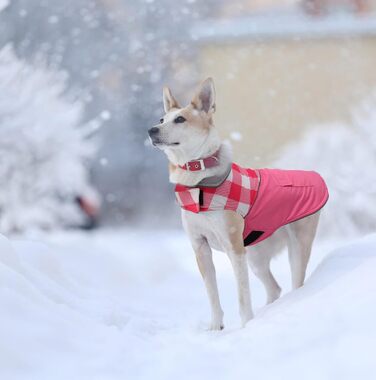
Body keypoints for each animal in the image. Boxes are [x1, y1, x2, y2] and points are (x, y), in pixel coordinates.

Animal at [148, 78, 328, 330]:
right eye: (161, 119)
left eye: (180, 119)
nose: (151, 130)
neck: (199, 181)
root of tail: (313, 175)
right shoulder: (200, 247)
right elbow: (212, 294)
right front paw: (215, 328)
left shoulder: (234, 248)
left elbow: (243, 296)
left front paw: (245, 327)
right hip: (255, 256)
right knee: (274, 288)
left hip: (296, 243)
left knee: (296, 281)